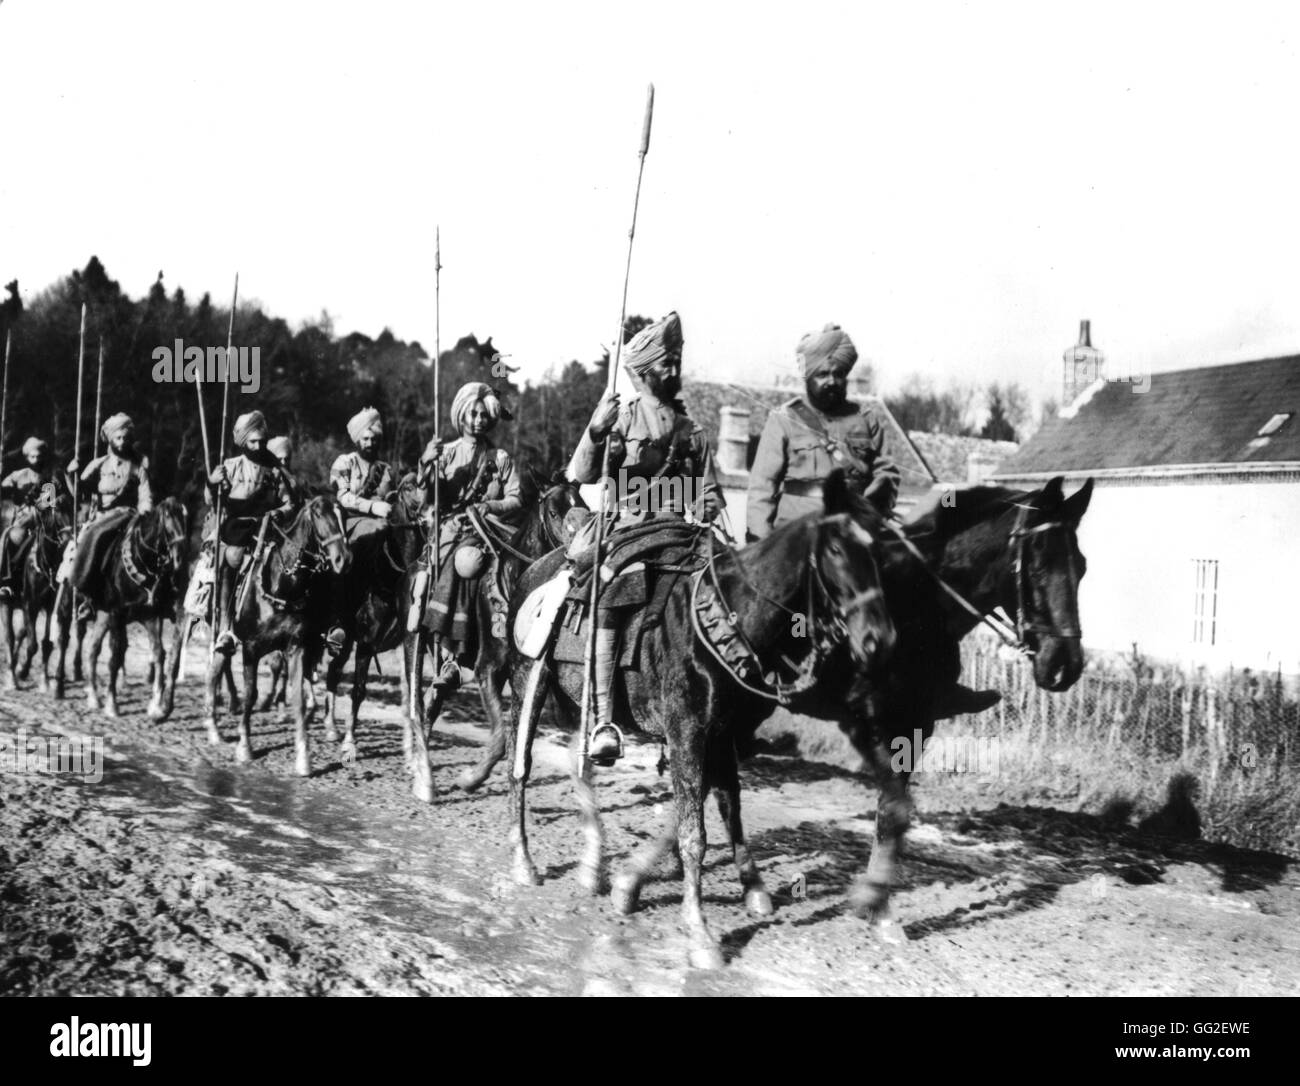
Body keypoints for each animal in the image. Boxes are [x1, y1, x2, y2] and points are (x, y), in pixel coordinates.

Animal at [76, 499, 189, 723]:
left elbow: (159, 654)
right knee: (94, 649)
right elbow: (115, 657)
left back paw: (93, 696)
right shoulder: (116, 614)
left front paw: (156, 705)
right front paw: (112, 705)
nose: (180, 559)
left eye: (184, 517)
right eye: (167, 519)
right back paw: (92, 696)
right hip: (103, 615)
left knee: (92, 649)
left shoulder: (151, 616)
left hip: (103, 617)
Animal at [397, 470, 587, 801]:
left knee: (433, 702)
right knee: (416, 706)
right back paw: (424, 779)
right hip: (413, 641)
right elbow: (500, 738)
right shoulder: (488, 670)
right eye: (554, 512)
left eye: (586, 507)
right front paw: (470, 779)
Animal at [499, 470, 894, 972]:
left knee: (580, 766)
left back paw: (592, 867)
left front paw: (753, 888)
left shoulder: (724, 734)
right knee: (520, 765)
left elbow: (729, 805)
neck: (726, 620)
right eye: (838, 550)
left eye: (881, 553)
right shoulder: (688, 732)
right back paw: (524, 861)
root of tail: (536, 569)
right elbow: (694, 833)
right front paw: (699, 930)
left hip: (578, 701)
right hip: (528, 678)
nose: (879, 638)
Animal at [611, 476, 1097, 952]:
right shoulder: (867, 722)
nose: (1065, 666)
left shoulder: (917, 726)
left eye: (1082, 567)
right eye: (1037, 567)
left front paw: (879, 908)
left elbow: (893, 813)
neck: (920, 607)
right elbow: (896, 807)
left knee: (715, 781)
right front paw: (872, 900)